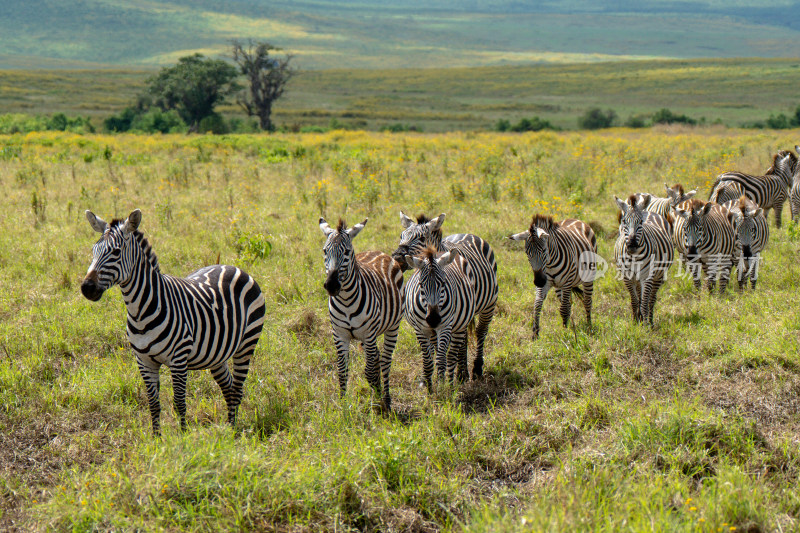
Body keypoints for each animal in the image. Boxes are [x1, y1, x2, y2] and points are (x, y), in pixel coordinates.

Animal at [83, 206, 268, 434]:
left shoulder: (179, 359)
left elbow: (179, 402)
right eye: (93, 251)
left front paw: (183, 437)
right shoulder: (144, 361)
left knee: (238, 388)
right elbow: (153, 404)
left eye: (116, 252)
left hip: (247, 344)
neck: (140, 310)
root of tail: (233, 266)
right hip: (217, 354)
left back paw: (233, 432)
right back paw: (229, 427)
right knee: (229, 386)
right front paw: (156, 438)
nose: (86, 288)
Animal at [318, 216, 404, 408]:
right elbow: (342, 371)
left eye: (347, 252)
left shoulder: (368, 334)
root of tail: (378, 251)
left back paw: (387, 398)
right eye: (325, 251)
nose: (331, 286)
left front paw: (379, 401)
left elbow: (370, 371)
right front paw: (343, 405)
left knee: (385, 361)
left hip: (392, 327)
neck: (346, 302)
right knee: (378, 358)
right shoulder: (340, 335)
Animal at [406, 247, 476, 384]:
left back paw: (451, 383)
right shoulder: (420, 329)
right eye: (421, 284)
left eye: (443, 283)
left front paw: (442, 386)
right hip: (433, 332)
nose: (433, 319)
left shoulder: (445, 326)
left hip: (460, 326)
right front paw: (428, 386)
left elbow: (441, 359)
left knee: (451, 355)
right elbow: (427, 361)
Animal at [612, 193, 676, 322]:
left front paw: (645, 324)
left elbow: (645, 303)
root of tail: (649, 211)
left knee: (651, 299)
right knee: (640, 297)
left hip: (658, 275)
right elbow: (634, 301)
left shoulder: (647, 277)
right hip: (637, 279)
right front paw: (635, 321)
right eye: (624, 221)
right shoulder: (627, 278)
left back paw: (650, 321)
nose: (632, 244)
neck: (634, 257)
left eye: (641, 222)